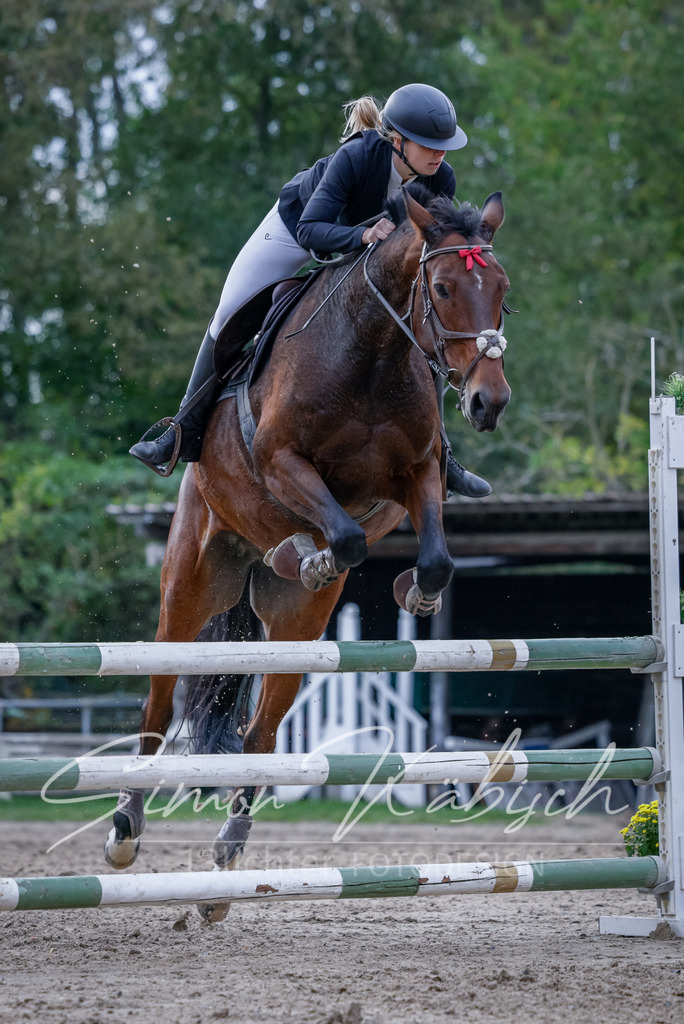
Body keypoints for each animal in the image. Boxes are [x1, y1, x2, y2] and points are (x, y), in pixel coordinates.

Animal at [104, 187, 512, 916]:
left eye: (503, 292)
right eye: (441, 287)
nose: (488, 402)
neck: (373, 352)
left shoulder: (418, 474)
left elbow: (434, 553)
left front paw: (415, 590)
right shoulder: (281, 460)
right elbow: (341, 533)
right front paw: (315, 552)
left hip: (296, 629)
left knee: (261, 738)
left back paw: (226, 865)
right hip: (189, 588)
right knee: (155, 707)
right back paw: (126, 827)